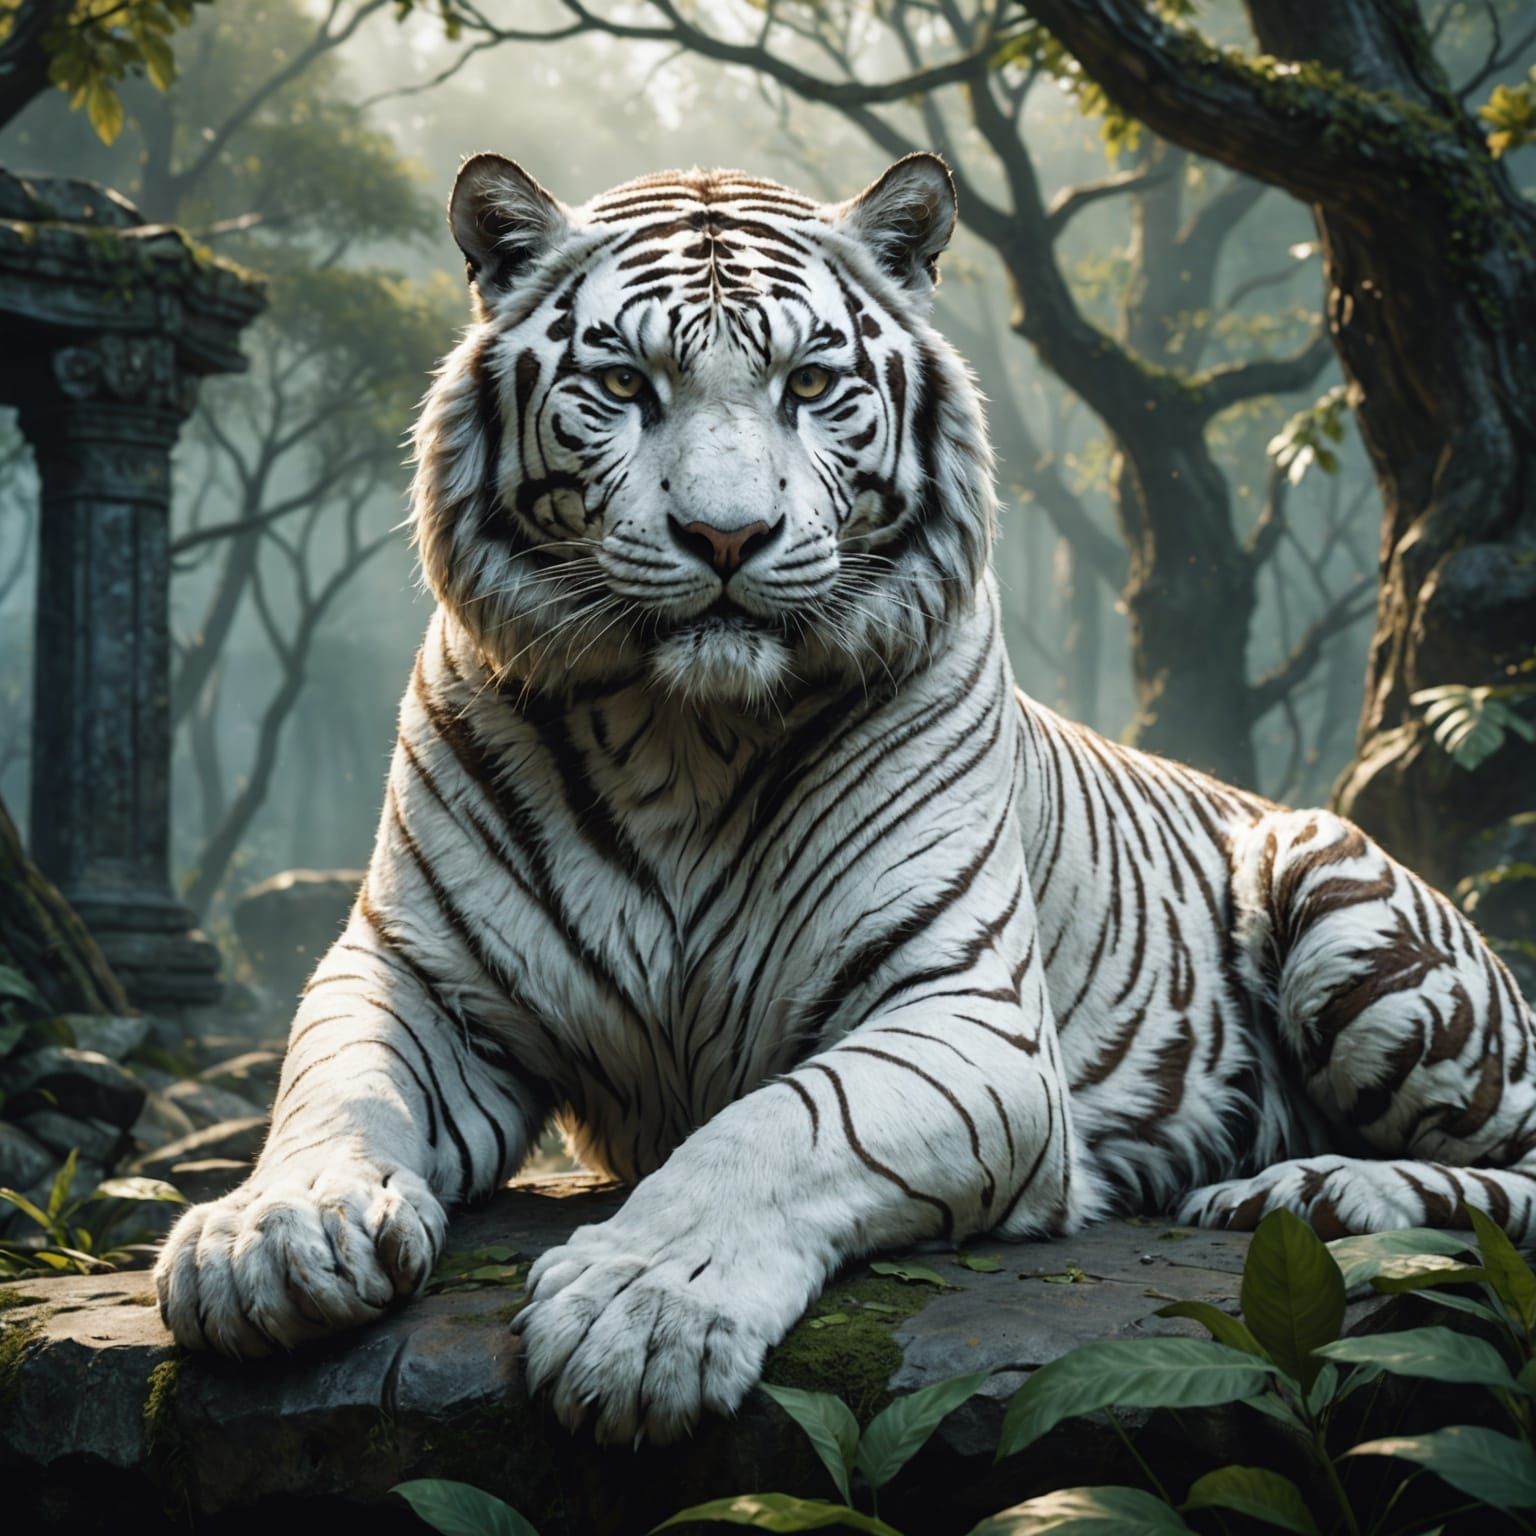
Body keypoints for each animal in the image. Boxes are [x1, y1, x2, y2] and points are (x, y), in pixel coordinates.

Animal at [155, 152, 1536, 1447]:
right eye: (626, 387)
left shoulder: (964, 1016)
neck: (677, 735)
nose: (725, 538)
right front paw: (267, 1241)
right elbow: (338, 1085)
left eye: (810, 386)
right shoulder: (416, 973)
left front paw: (642, 1311)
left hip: (1346, 912)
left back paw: (1303, 1193)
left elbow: (781, 1128)